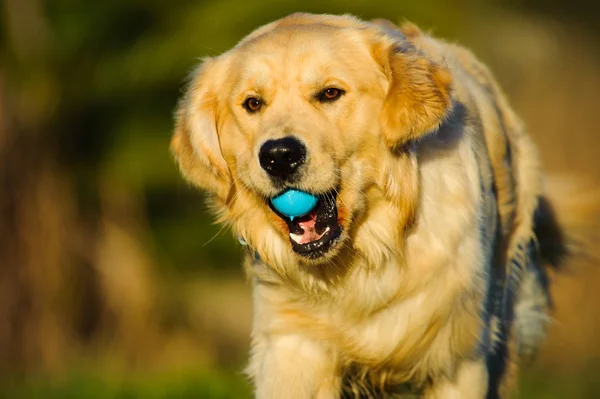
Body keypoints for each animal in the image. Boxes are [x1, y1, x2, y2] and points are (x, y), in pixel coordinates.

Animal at [171, 13, 596, 399]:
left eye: (330, 93)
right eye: (252, 103)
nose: (278, 156)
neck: (365, 257)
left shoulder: (458, 360)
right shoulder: (293, 350)